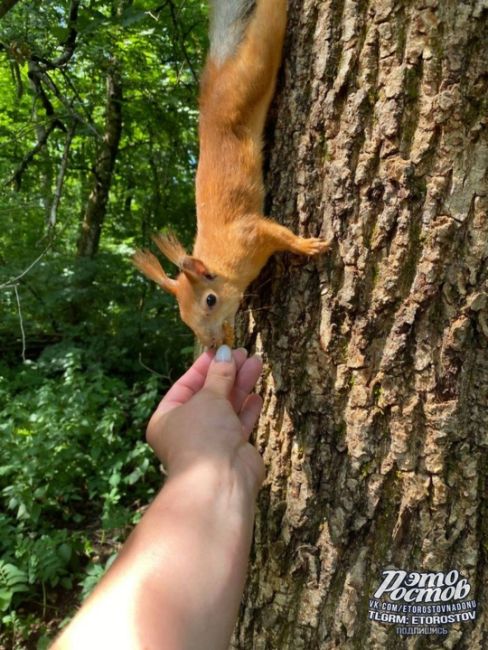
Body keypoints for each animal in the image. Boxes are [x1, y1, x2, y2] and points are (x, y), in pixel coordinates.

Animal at [133, 0, 330, 350]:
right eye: (183, 316)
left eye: (210, 300)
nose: (210, 344)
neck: (222, 260)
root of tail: (216, 78)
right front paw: (228, 336)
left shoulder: (251, 232)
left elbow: (279, 233)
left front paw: (306, 246)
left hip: (253, 70)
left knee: (267, 29)